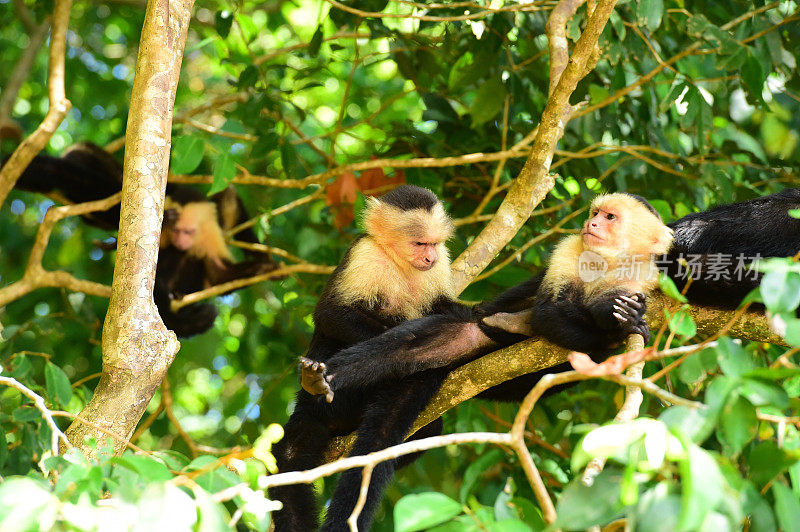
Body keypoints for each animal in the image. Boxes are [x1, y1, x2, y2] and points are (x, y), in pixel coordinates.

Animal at [6, 141, 278, 336]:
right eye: (177, 231)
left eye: (188, 232)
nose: (180, 238)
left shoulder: (209, 234)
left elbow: (219, 274)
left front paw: (262, 266)